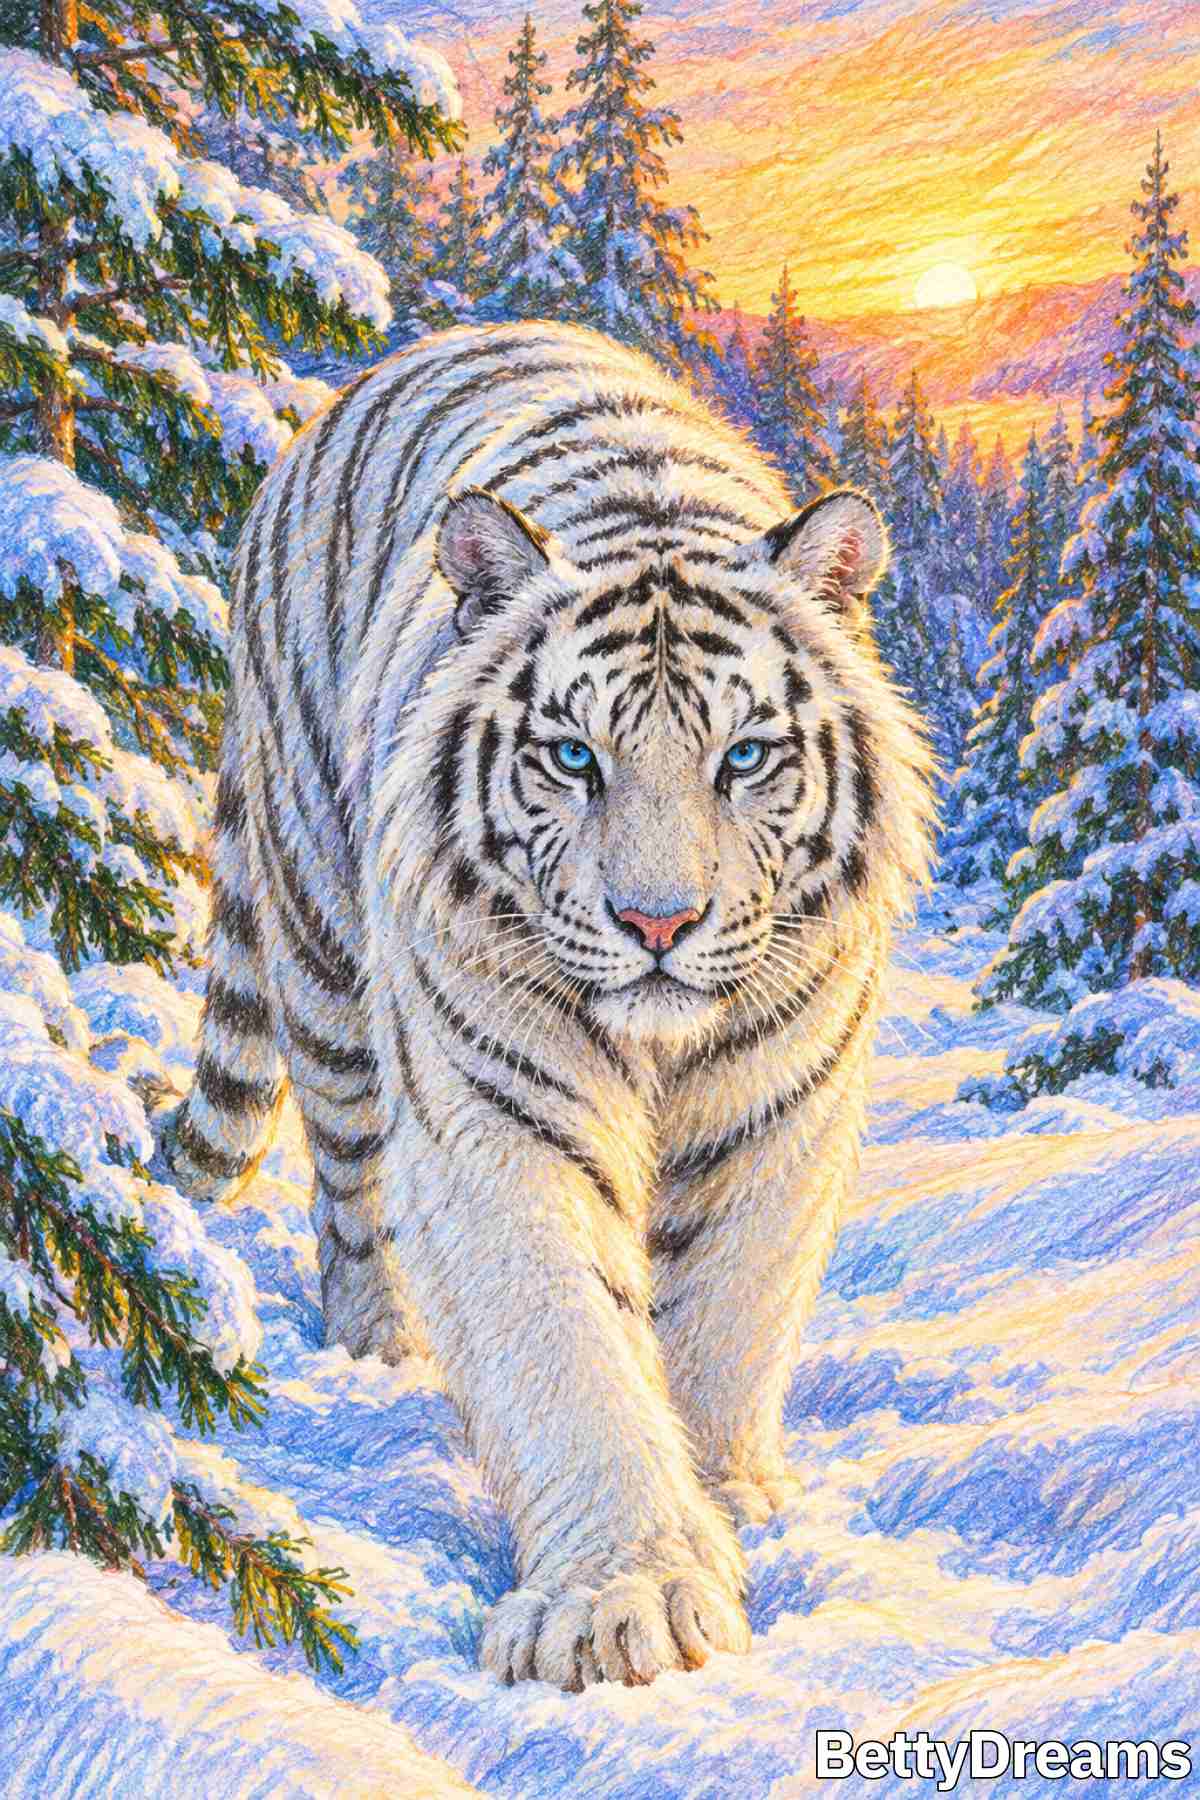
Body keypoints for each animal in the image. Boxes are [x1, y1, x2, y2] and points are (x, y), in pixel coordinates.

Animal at [162, 320, 934, 1692]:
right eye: (574, 756)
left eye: (745, 757)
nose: (658, 925)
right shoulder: (498, 1110)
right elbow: (566, 1340)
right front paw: (623, 1603)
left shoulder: (782, 1104)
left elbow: (728, 1311)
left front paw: (728, 1504)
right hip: (322, 943)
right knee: (350, 1186)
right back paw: (381, 1347)